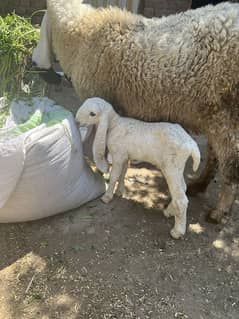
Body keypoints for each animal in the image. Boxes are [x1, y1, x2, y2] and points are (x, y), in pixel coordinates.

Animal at [32, 0, 239, 225]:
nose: (35, 65)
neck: (83, 35)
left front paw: (107, 176)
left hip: (225, 114)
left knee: (230, 162)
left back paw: (220, 210)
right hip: (214, 113)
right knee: (215, 155)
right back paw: (198, 186)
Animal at [75, 97, 202, 240]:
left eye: (92, 114)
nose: (77, 121)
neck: (114, 124)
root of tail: (192, 145)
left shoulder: (118, 155)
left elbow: (114, 176)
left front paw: (107, 197)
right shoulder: (125, 156)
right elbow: (122, 174)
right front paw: (119, 192)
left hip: (172, 167)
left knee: (181, 199)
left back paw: (177, 231)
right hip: (178, 166)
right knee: (183, 189)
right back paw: (169, 211)